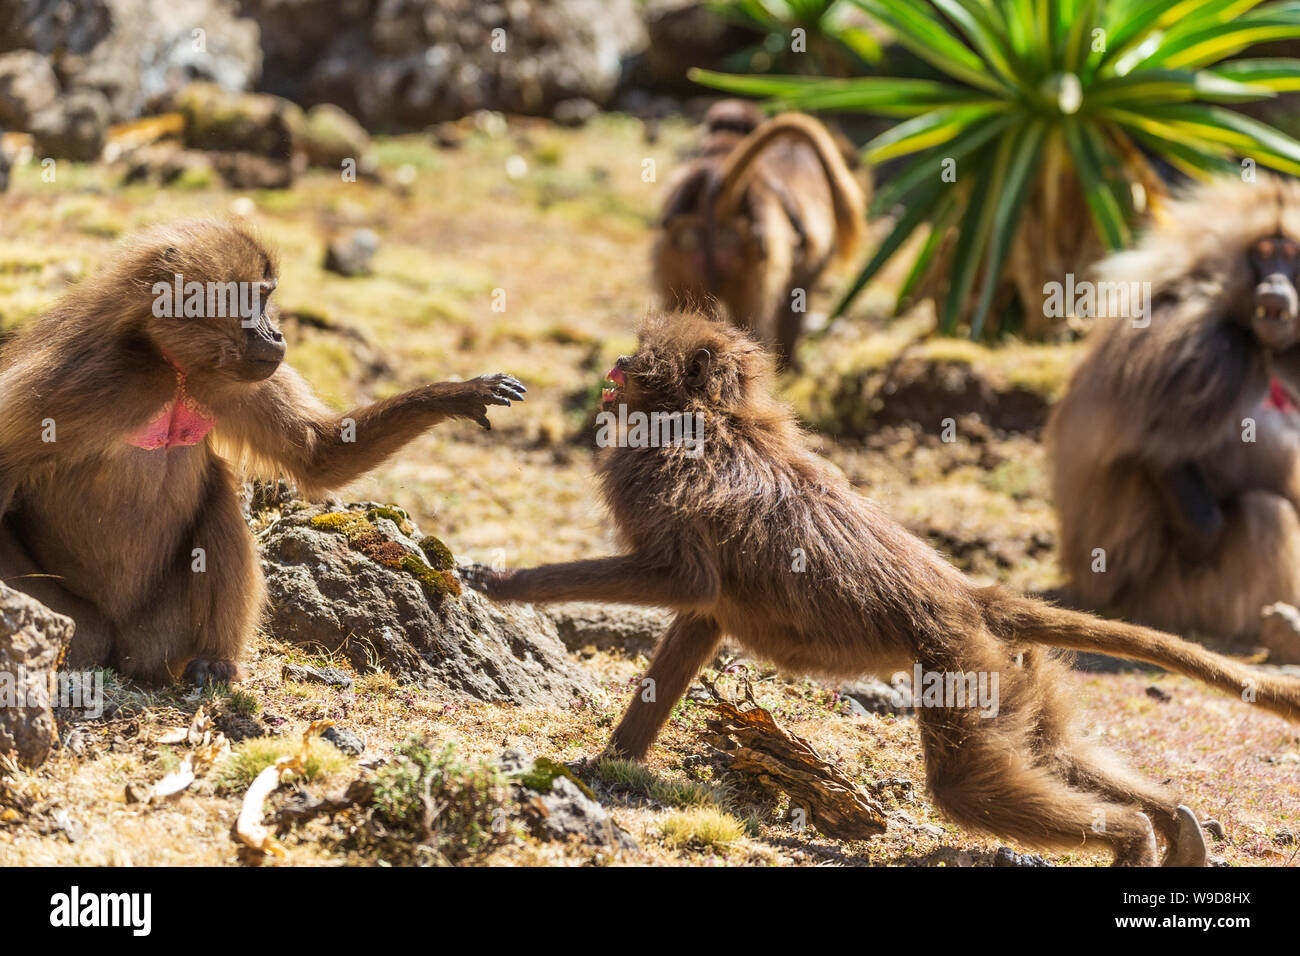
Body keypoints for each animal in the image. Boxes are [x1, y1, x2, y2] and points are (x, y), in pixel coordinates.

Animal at [1, 221, 527, 686]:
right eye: (253, 298)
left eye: (267, 297)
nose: (277, 335)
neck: (168, 365)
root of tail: (124, 644)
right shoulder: (73, 383)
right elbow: (8, 469)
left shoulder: (239, 382)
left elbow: (319, 454)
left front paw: (459, 394)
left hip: (161, 635)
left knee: (218, 500)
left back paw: (214, 661)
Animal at [465, 310, 1300, 863]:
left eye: (640, 359)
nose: (613, 366)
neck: (715, 418)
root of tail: (971, 597)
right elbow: (700, 618)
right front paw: (611, 764)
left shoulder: (672, 485)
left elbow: (685, 579)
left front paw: (502, 584)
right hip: (1009, 671)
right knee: (1052, 752)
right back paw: (1173, 825)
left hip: (961, 666)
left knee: (966, 787)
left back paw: (1130, 839)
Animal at [1045, 178, 1300, 642]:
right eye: (1264, 252)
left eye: (1291, 255)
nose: (1275, 283)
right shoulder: (1201, 347)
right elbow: (1153, 449)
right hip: (1169, 598)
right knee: (1265, 514)